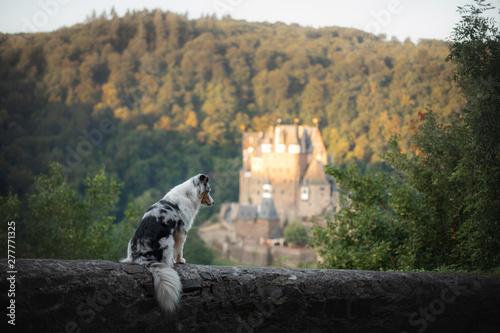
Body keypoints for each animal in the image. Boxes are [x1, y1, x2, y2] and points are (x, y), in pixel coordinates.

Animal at [122, 174, 215, 312]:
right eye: (208, 190)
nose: (213, 202)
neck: (188, 194)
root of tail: (141, 255)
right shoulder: (181, 231)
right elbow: (179, 249)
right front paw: (180, 261)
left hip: (131, 244)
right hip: (168, 240)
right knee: (166, 260)